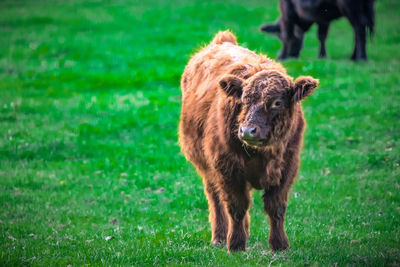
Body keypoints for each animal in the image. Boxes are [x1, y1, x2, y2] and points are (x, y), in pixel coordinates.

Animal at [178, 31, 318, 253]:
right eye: (243, 100)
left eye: (277, 102)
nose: (247, 131)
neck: (264, 155)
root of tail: (222, 41)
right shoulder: (227, 167)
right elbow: (236, 207)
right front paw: (235, 245)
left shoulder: (287, 166)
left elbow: (276, 207)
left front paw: (279, 245)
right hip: (206, 165)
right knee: (216, 199)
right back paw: (220, 237)